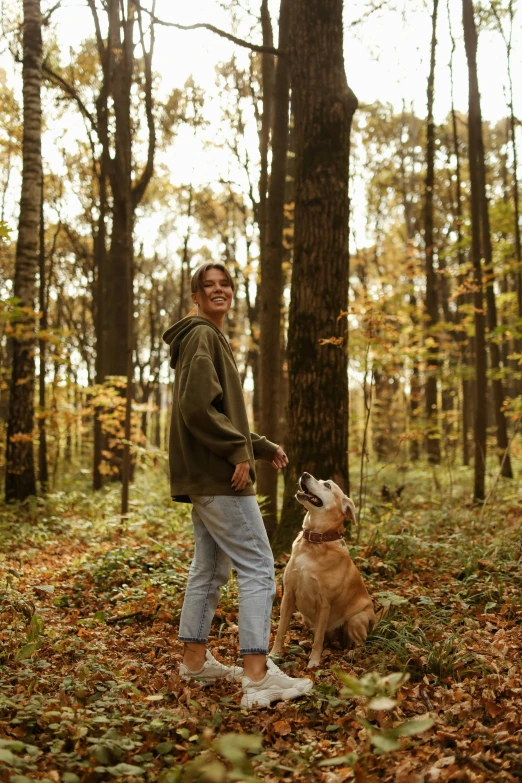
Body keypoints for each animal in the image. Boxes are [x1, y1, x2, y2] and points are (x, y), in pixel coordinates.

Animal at [268, 472, 374, 668]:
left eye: (327, 485)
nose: (305, 474)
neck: (315, 541)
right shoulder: (289, 595)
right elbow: (280, 630)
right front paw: (274, 654)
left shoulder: (324, 602)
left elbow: (318, 638)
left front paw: (314, 662)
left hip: (356, 619)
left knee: (360, 643)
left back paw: (352, 654)